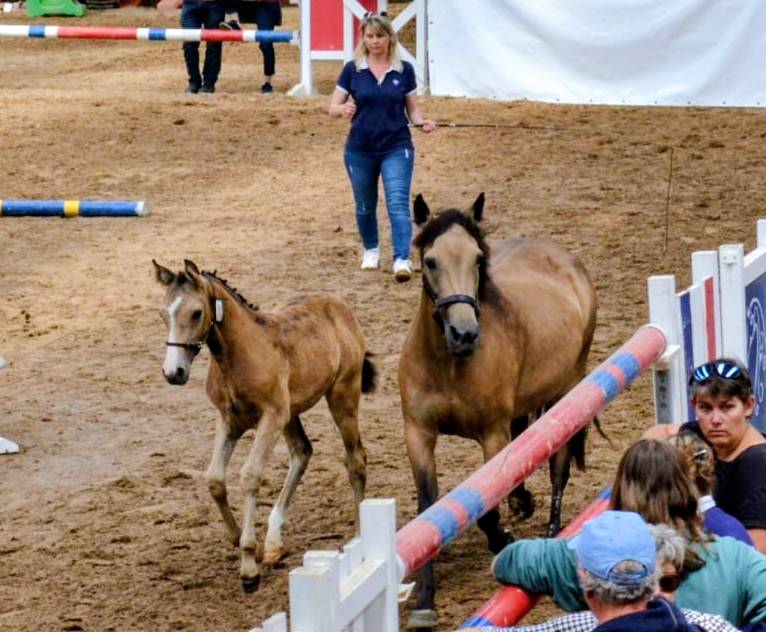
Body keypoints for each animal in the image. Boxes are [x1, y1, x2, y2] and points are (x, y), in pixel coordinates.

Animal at [153, 260, 375, 592]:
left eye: (196, 313)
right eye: (163, 313)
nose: (173, 372)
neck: (236, 357)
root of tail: (340, 306)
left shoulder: (269, 418)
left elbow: (250, 476)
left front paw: (248, 567)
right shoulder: (229, 420)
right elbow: (214, 479)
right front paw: (243, 543)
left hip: (341, 396)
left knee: (355, 458)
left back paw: (361, 536)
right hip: (290, 412)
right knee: (302, 452)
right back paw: (272, 543)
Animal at [398, 194, 597, 628]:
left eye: (477, 259)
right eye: (431, 261)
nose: (464, 334)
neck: (448, 364)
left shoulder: (492, 435)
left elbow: (487, 509)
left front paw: (502, 537)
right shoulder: (418, 434)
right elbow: (427, 511)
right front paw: (424, 599)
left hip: (569, 390)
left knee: (557, 463)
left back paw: (552, 530)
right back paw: (523, 502)